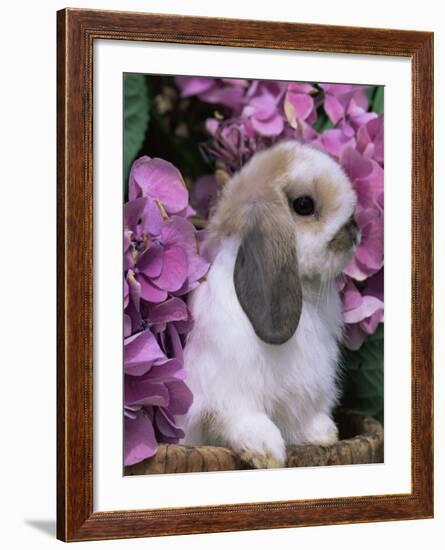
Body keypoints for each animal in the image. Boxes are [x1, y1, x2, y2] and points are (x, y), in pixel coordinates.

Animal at [180, 141, 358, 470]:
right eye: (304, 205)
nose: (354, 229)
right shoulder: (229, 394)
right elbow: (244, 419)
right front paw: (266, 451)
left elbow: (307, 417)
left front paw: (323, 433)